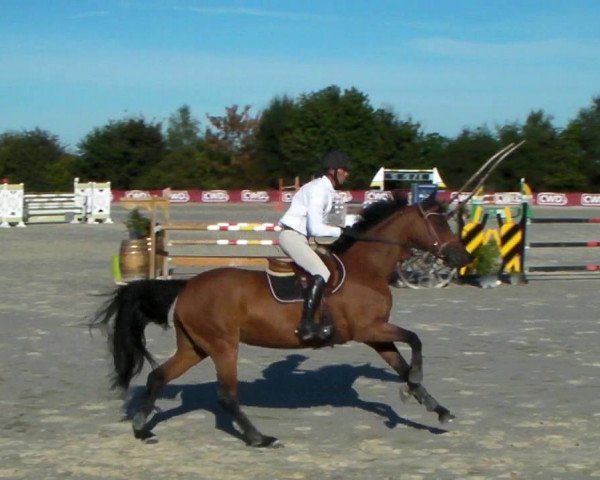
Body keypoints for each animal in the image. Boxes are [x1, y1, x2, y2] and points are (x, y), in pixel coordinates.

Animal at [91, 194, 472, 446]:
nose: (461, 257)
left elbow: (403, 364)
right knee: (227, 395)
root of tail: (187, 286)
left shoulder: (376, 335)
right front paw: (416, 389)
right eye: (439, 222)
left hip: (195, 347)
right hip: (224, 346)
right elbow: (415, 340)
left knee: (158, 377)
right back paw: (259, 437)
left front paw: (435, 408)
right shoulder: (369, 329)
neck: (367, 269)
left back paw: (141, 428)